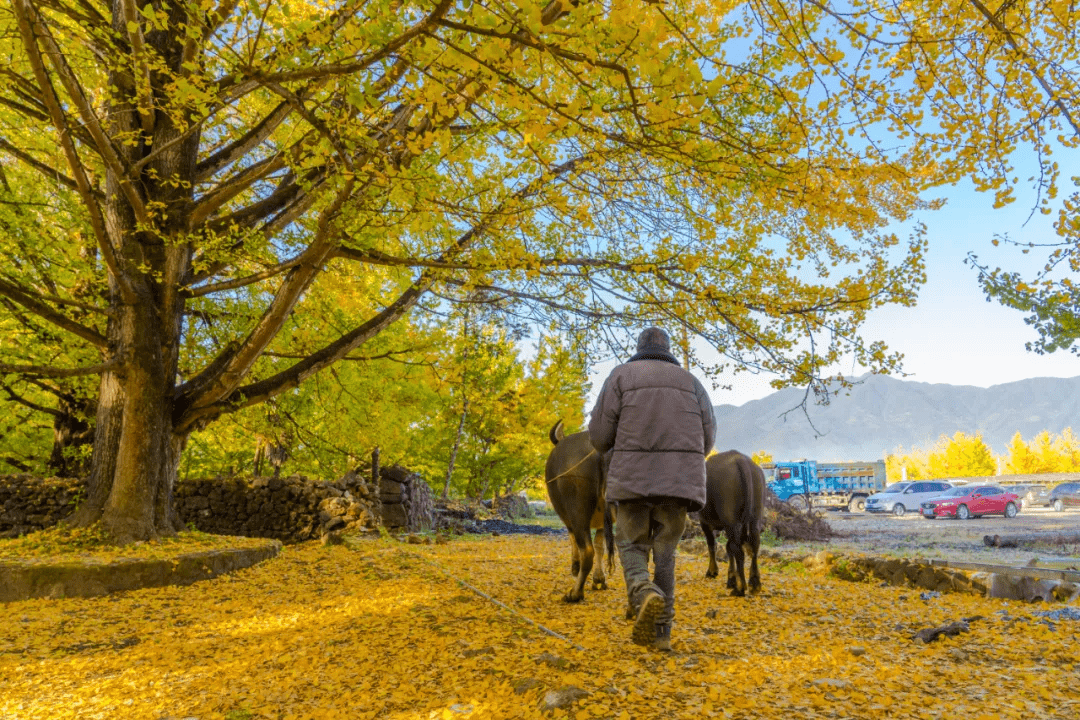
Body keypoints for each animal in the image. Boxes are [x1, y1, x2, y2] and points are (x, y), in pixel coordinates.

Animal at [548, 418, 617, 604]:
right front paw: (599, 579)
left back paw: (575, 593)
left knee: (587, 550)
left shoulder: (569, 518)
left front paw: (575, 566)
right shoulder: (602, 522)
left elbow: (574, 539)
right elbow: (600, 545)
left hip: (577, 513)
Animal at [699, 451, 768, 595]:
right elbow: (728, 548)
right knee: (754, 545)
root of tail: (740, 459)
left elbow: (712, 545)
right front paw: (731, 578)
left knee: (738, 550)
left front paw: (713, 572)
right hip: (755, 518)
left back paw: (740, 588)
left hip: (731, 520)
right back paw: (755, 583)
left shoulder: (704, 522)